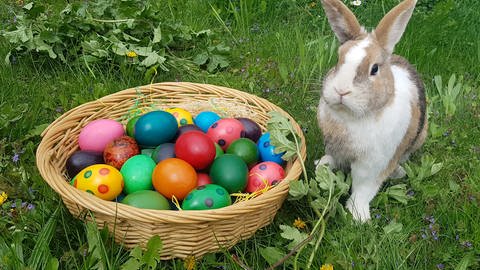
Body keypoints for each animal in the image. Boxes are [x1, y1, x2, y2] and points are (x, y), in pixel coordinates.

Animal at [316, 0, 426, 221]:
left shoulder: (374, 164)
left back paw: (399, 172)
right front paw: (321, 167)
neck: (352, 117)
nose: (341, 90)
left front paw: (359, 217)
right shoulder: (334, 147)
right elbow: (332, 158)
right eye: (338, 60)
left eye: (374, 69)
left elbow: (363, 188)